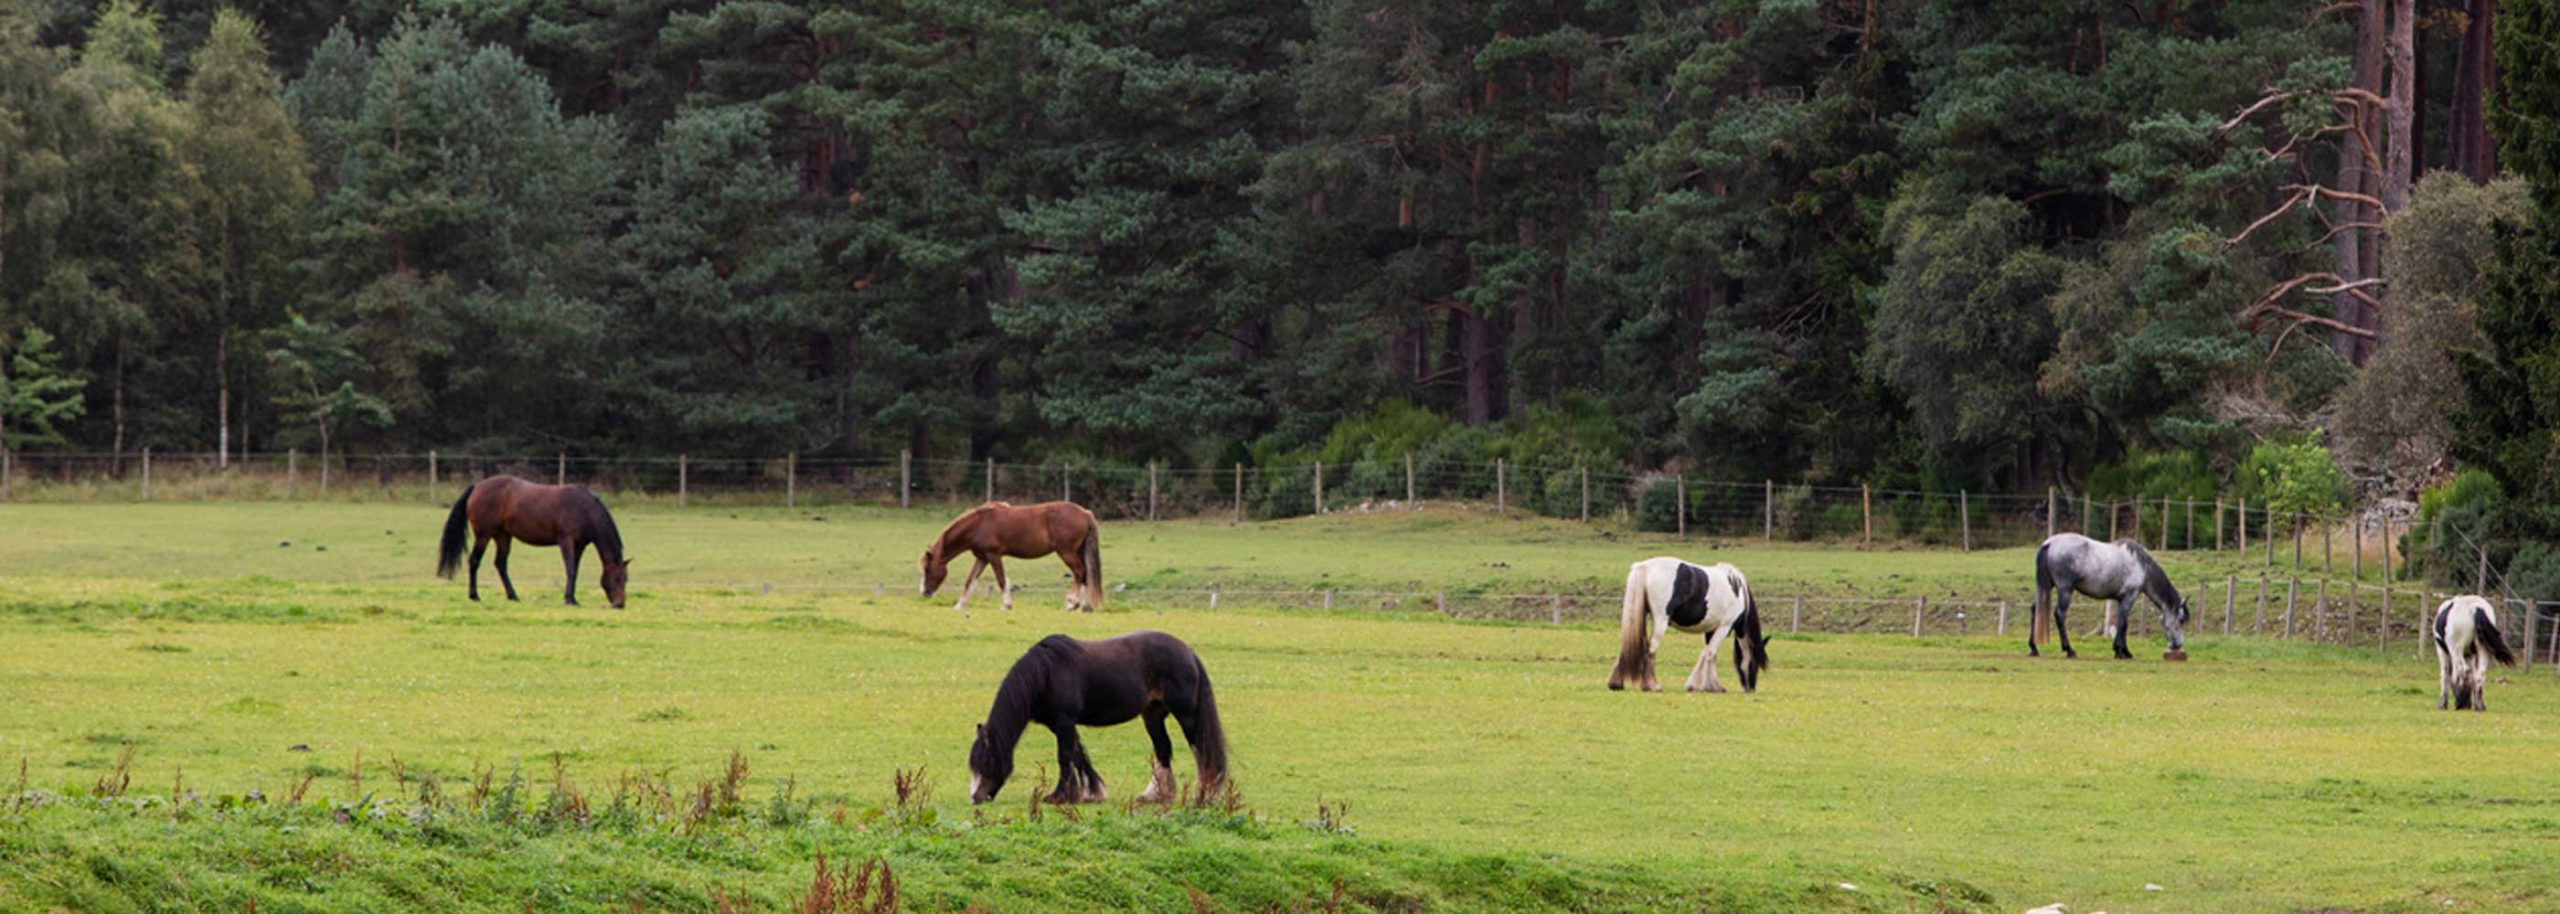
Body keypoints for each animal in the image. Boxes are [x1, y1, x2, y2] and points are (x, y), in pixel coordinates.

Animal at [432, 473, 627, 609]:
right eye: (617, 578)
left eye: (626, 579)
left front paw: (572, 597)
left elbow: (575, 570)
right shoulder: (566, 541)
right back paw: (475, 595)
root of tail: (477, 486)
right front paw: (569, 599)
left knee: (500, 564)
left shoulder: (579, 545)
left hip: (503, 536)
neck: (584, 508)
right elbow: (570, 569)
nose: (620, 604)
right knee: (474, 561)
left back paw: (513, 595)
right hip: (483, 535)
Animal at [921, 499, 1100, 611]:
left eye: (927, 570)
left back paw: (1072, 603)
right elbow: (970, 581)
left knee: (1079, 572)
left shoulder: (993, 556)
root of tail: (1085, 513)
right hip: (1077, 552)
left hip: (1066, 552)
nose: (924, 593)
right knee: (1085, 576)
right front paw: (960, 605)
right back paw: (1086, 607)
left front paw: (1006, 605)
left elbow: (1001, 580)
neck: (979, 525)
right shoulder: (982, 558)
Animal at [967, 629, 1228, 798]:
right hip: (1152, 715)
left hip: (1186, 715)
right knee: (1163, 748)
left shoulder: (1064, 722)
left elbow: (1064, 756)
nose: (976, 798)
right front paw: (1093, 792)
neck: (1045, 674)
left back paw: (1204, 793)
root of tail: (1188, 652)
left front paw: (1061, 795)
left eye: (986, 762)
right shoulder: (1060, 725)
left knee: (1200, 749)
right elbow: (1078, 753)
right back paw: (1155, 795)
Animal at [1607, 555, 1771, 691]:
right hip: (1661, 622)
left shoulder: (1711, 629)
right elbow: (1710, 653)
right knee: (1651, 648)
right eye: (1755, 664)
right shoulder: (1724, 627)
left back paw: (1616, 683)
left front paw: (1704, 685)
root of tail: (1644, 566)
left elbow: (1708, 653)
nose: (1750, 688)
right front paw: (1711, 686)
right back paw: (1652, 685)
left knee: (1627, 646)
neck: (1738, 591)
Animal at [2027, 529, 2191, 660]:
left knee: (2035, 609)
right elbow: (2123, 623)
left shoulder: (2121, 599)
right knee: (2060, 614)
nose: (2178, 645)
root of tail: (2049, 543)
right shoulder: (2130, 596)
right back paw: (2069, 650)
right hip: (2065, 590)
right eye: (2181, 620)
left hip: (2045, 587)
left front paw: (2120, 650)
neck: (2142, 565)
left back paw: (2033, 648)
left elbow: (2121, 623)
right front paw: (2122, 652)